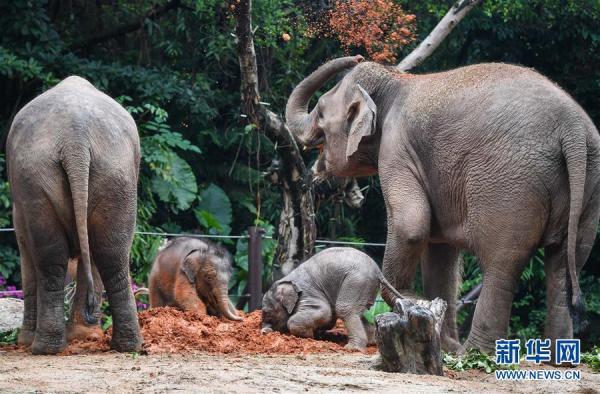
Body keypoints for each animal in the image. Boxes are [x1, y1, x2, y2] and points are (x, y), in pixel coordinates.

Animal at [6, 74, 142, 354]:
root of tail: (75, 138)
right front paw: (83, 336)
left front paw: (25, 341)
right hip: (116, 175)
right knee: (110, 252)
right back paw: (126, 346)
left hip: (37, 177)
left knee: (53, 258)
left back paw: (44, 346)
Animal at [260, 248, 400, 350]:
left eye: (267, 313)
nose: (264, 332)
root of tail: (378, 271)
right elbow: (329, 318)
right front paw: (316, 334)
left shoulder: (307, 293)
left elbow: (325, 312)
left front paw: (309, 336)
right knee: (358, 312)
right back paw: (371, 343)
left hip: (357, 282)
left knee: (345, 309)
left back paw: (352, 348)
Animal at [286, 56, 600, 354]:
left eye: (321, 112)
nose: (356, 56)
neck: (395, 82)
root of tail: (571, 127)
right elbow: (439, 247)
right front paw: (443, 341)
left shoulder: (396, 149)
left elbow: (411, 225)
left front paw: (404, 299)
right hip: (589, 182)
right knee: (565, 263)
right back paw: (558, 360)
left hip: (511, 186)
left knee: (503, 263)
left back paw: (473, 354)